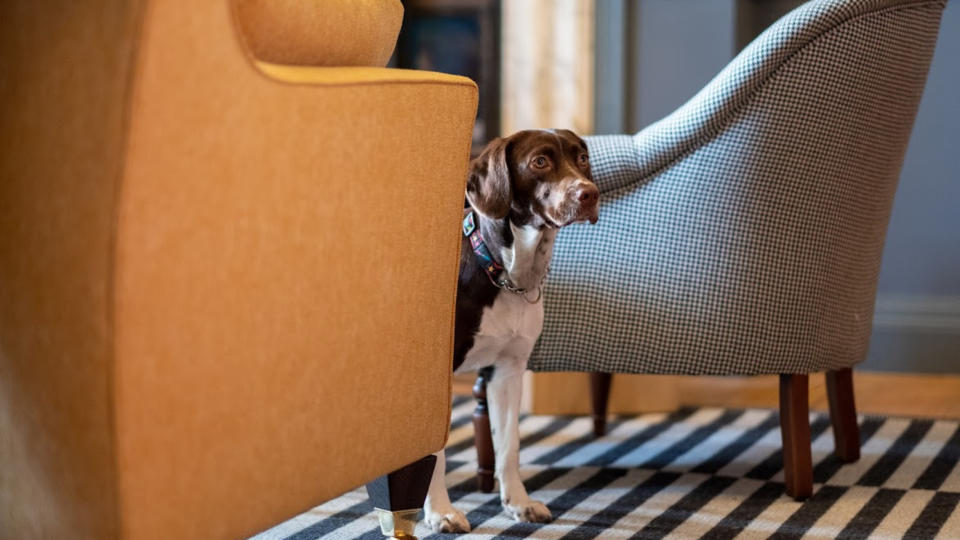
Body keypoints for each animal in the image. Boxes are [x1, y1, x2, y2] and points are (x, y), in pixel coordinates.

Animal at [424, 130, 596, 532]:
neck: (503, 274)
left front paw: (518, 503)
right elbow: (435, 453)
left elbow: (509, 446)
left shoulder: (507, 372)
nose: (590, 193)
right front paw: (440, 512)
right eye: (540, 162)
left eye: (581, 158)